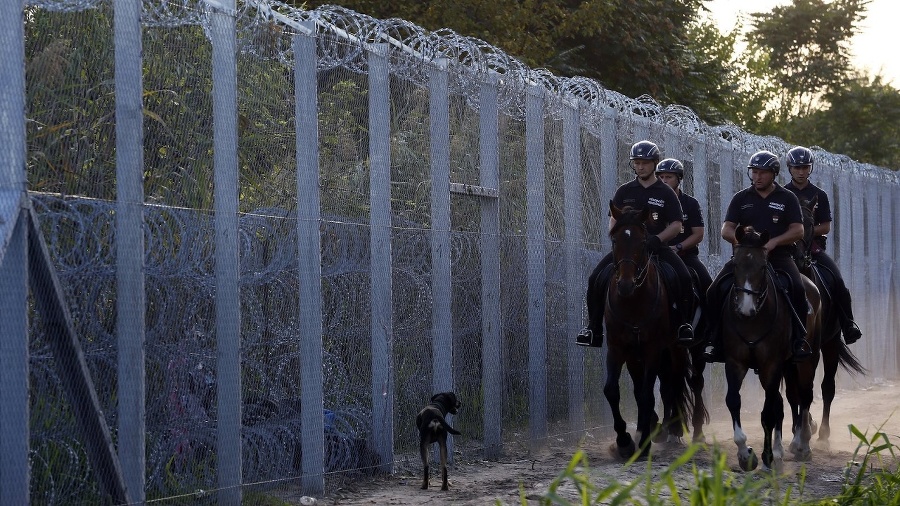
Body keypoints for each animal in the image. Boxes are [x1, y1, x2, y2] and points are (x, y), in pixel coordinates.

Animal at [600, 202, 700, 458]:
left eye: (643, 241)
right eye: (614, 240)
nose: (625, 284)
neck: (633, 301)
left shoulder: (653, 349)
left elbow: (647, 394)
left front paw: (644, 441)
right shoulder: (617, 348)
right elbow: (612, 391)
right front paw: (624, 441)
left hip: (675, 349)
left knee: (673, 385)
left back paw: (671, 429)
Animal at [720, 225, 820, 470]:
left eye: (763, 266)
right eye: (735, 264)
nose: (745, 308)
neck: (752, 319)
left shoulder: (771, 365)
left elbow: (767, 413)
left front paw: (766, 456)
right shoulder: (735, 362)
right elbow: (734, 400)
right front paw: (745, 454)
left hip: (806, 361)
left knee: (805, 395)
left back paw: (802, 445)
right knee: (784, 402)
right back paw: (781, 450)